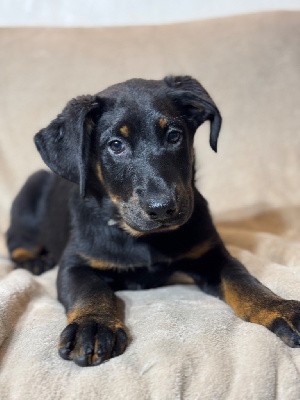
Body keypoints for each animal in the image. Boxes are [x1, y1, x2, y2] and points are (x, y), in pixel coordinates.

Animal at [6, 76, 300, 368]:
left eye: (174, 136)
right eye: (115, 145)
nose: (162, 209)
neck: (140, 237)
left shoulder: (212, 255)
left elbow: (243, 281)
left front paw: (278, 308)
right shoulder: (75, 263)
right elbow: (89, 290)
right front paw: (93, 325)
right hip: (28, 195)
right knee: (15, 240)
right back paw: (33, 260)